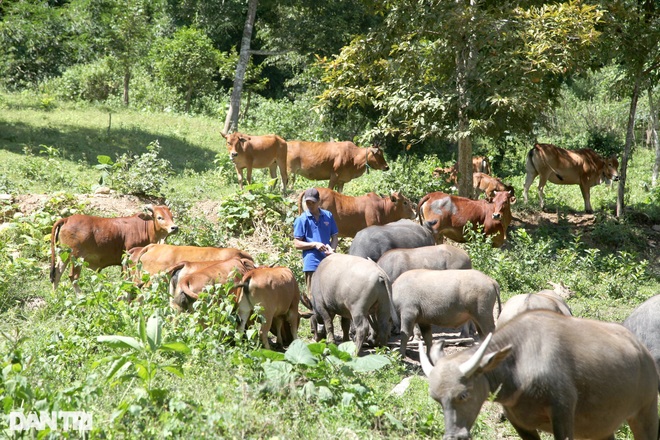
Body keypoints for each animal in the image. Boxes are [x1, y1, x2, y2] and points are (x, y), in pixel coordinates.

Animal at [50, 205, 178, 290]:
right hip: (77, 257)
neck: (145, 228)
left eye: (172, 217)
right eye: (159, 217)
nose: (174, 228)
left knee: (57, 273)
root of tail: (67, 219)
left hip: (64, 255)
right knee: (73, 277)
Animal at [420, 312, 656, 440]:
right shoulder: (519, 423)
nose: (454, 436)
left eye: (463, 395)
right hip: (602, 427)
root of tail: (642, 352)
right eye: (436, 399)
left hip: (646, 411)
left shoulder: (562, 413)